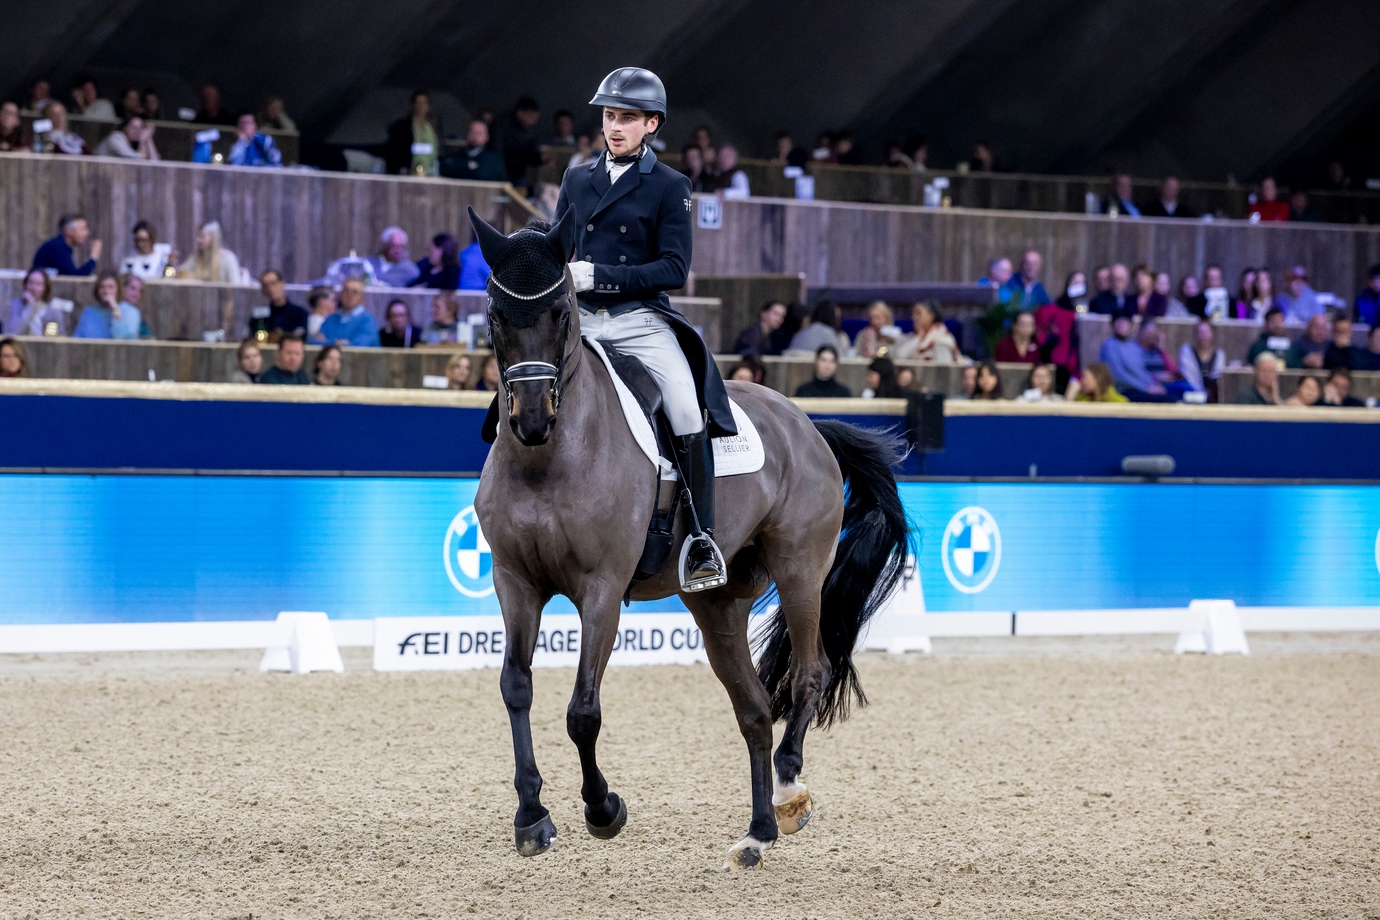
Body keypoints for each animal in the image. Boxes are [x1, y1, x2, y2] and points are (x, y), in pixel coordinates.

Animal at [469, 208, 910, 871]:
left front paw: (603, 809)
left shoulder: (600, 590)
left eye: (563, 312)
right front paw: (532, 816)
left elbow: (582, 711)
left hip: (800, 571)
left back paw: (789, 788)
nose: (532, 420)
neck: (548, 461)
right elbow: (515, 688)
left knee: (810, 673)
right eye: (496, 315)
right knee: (753, 710)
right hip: (717, 602)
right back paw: (758, 832)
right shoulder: (514, 581)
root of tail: (807, 424)